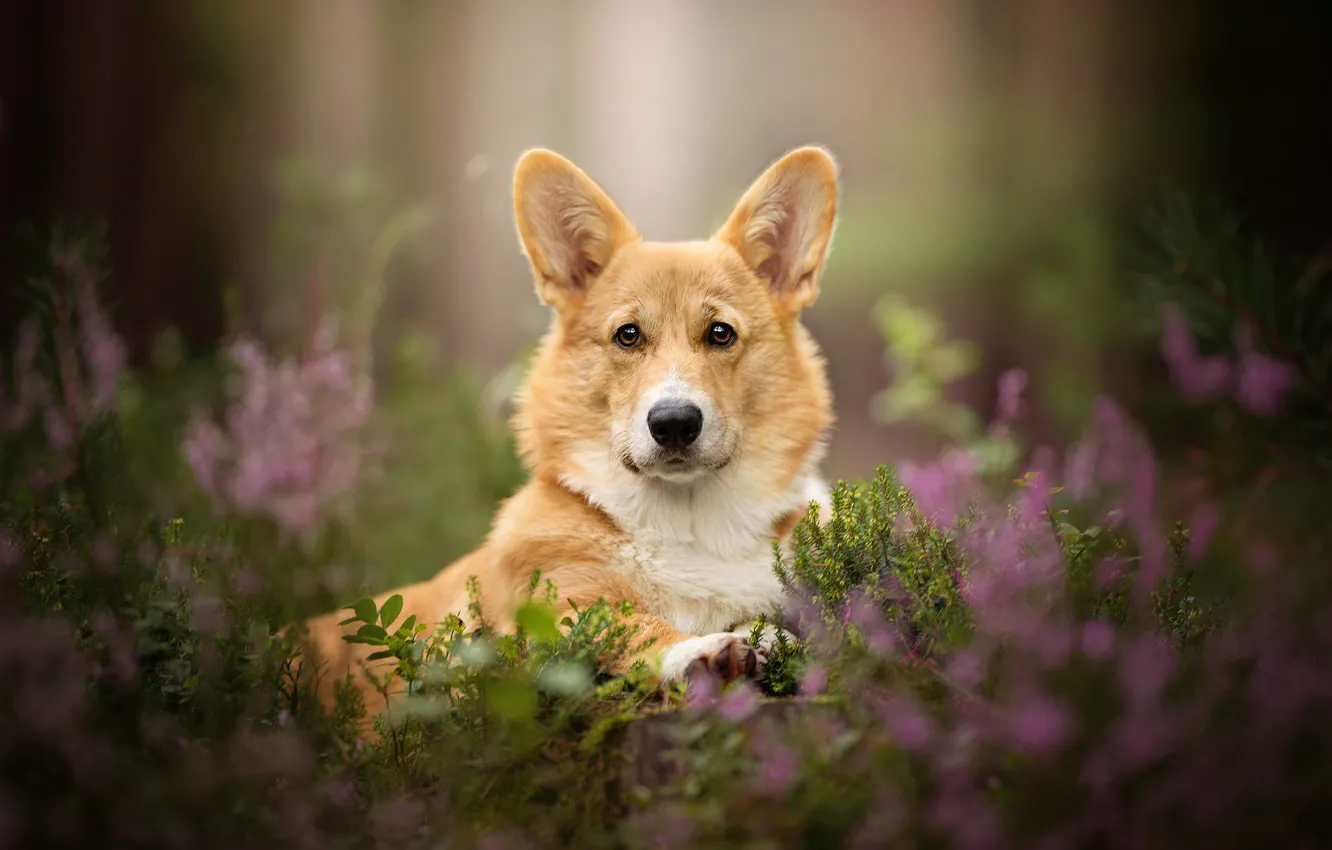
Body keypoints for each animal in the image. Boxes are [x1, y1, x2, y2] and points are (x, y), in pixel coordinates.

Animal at [305, 145, 831, 724]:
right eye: (628, 335)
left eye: (721, 333)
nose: (673, 422)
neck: (687, 520)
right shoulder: (558, 610)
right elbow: (632, 626)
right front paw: (698, 650)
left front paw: (769, 637)